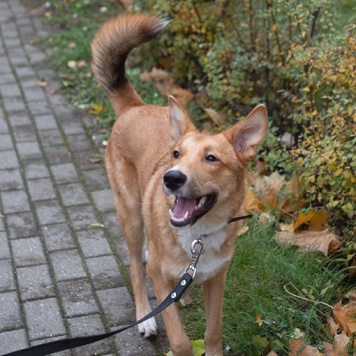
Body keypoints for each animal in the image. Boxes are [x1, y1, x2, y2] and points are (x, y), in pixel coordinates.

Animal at [92, 13, 268, 356]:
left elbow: (213, 334)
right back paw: (146, 318)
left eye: (211, 158)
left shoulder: (217, 280)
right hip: (130, 214)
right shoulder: (160, 280)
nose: (171, 178)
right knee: (136, 268)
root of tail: (135, 107)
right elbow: (180, 340)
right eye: (176, 154)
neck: (198, 236)